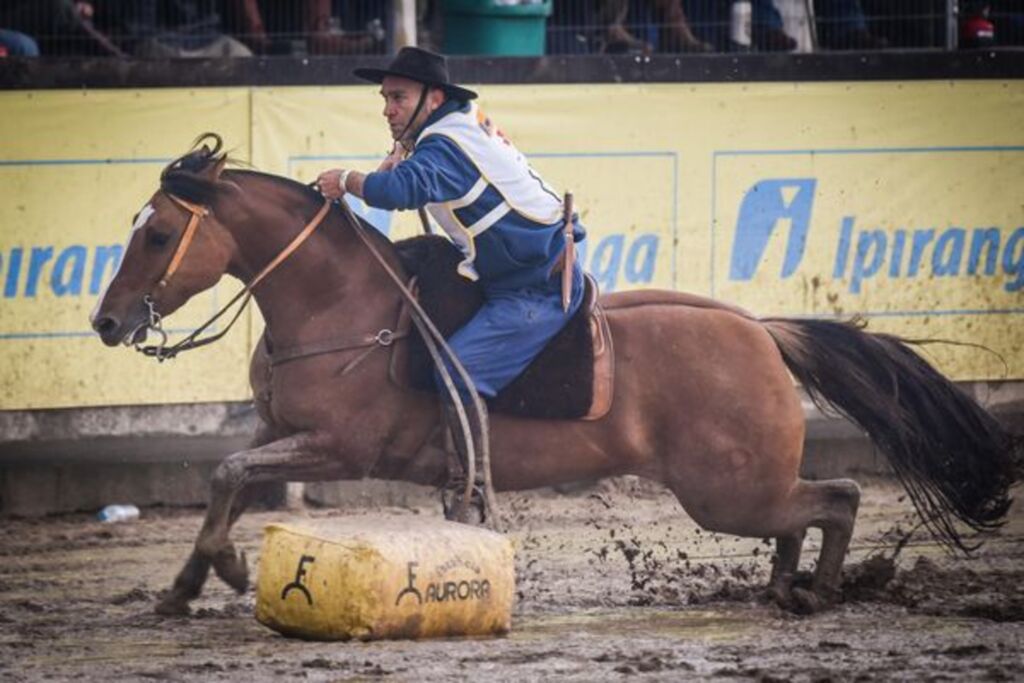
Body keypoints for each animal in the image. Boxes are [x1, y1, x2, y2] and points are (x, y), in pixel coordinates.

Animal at [90, 136, 1015, 618]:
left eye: (158, 232)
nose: (107, 322)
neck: (341, 304)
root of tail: (759, 329)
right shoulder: (278, 432)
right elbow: (231, 477)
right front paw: (194, 579)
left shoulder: (339, 448)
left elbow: (226, 472)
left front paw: (221, 571)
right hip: (745, 490)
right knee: (807, 512)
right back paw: (783, 585)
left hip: (731, 491)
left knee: (839, 498)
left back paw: (815, 591)